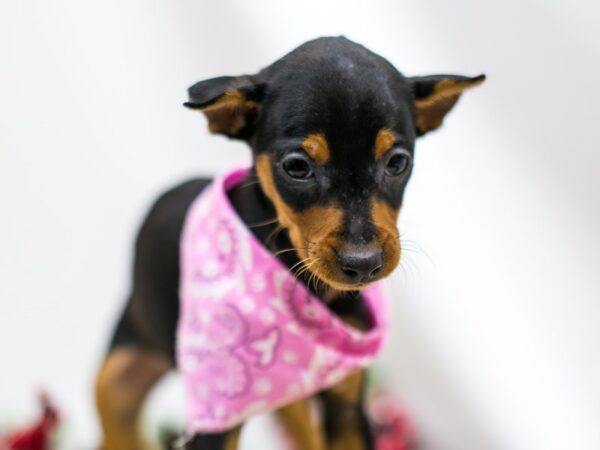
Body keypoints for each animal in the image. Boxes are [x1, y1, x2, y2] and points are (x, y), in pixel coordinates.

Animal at [96, 36, 486, 450]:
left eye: (398, 162)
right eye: (296, 167)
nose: (363, 263)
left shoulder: (347, 407)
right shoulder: (215, 420)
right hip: (115, 383)